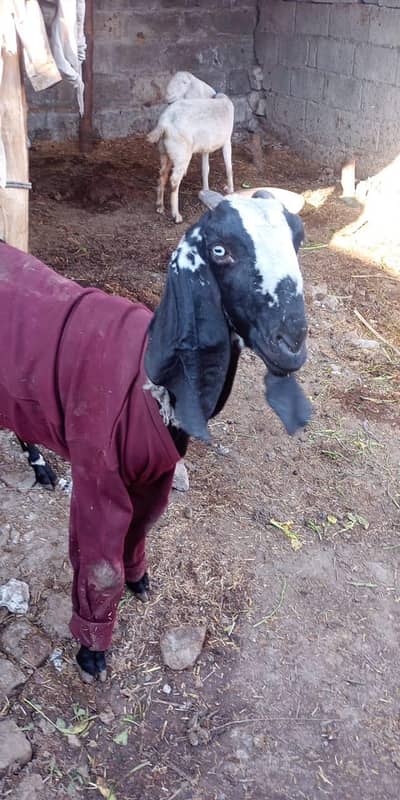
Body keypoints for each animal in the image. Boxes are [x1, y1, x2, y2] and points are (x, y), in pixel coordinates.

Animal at [0, 191, 310, 683]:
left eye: (299, 240)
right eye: (219, 250)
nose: (291, 343)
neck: (147, 380)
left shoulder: (156, 473)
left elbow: (141, 528)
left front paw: (138, 581)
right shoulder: (97, 473)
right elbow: (101, 566)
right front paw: (92, 655)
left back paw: (42, 467)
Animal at [148, 84, 234, 223]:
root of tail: (164, 123)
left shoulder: (206, 147)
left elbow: (205, 169)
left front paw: (206, 190)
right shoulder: (227, 140)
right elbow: (228, 166)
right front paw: (230, 190)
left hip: (165, 152)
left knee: (162, 175)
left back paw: (160, 207)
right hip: (182, 154)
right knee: (174, 180)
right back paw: (176, 215)